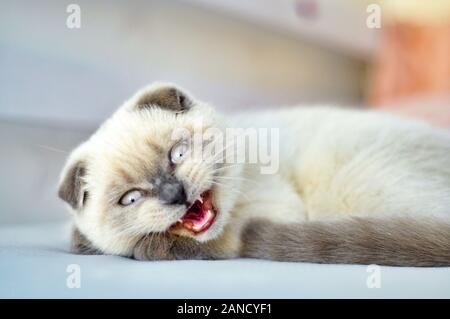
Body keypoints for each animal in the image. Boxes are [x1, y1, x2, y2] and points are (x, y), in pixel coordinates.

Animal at [58, 82, 450, 268]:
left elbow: (207, 244)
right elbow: (81, 239)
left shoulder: (272, 213)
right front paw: (85, 241)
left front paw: (149, 248)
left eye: (178, 154)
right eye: (131, 198)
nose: (175, 193)